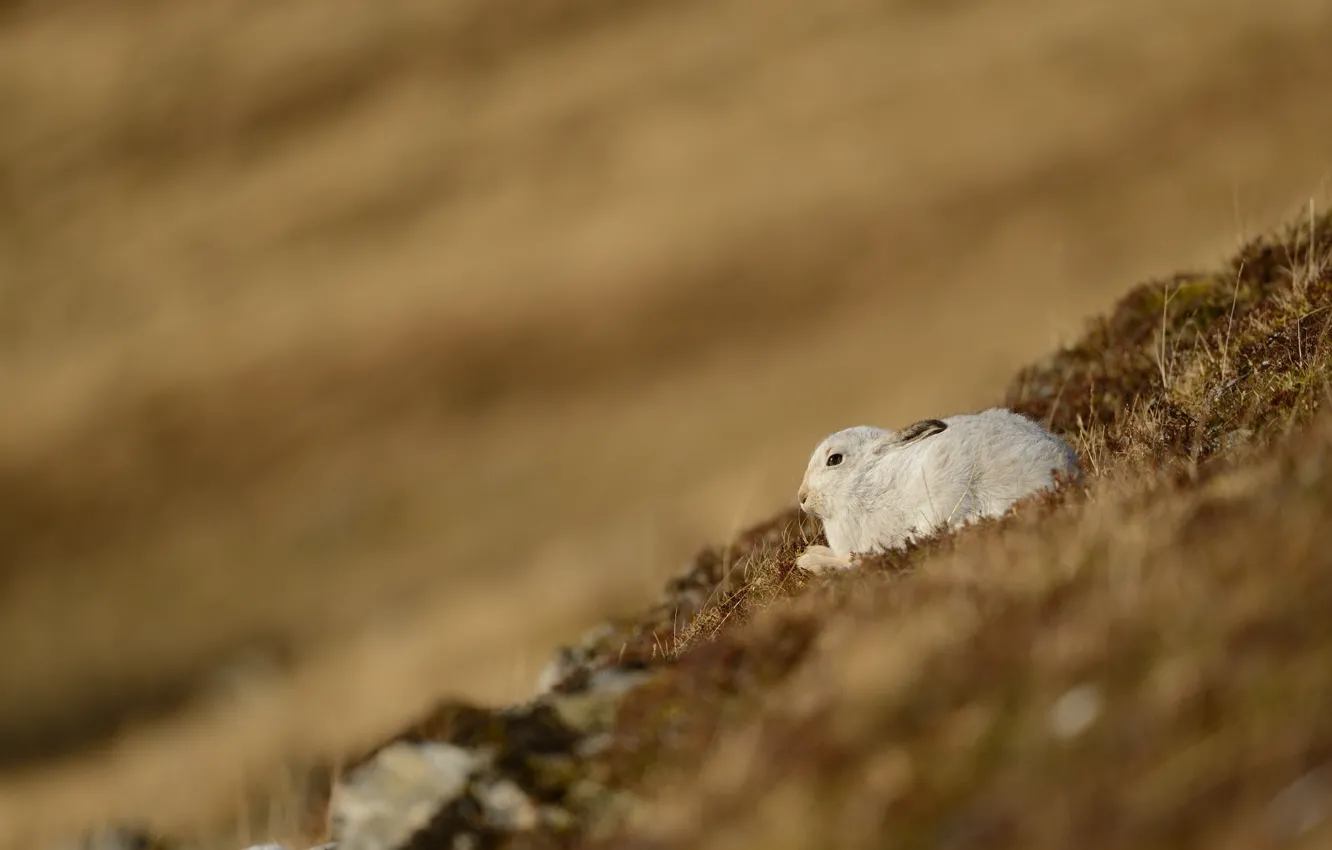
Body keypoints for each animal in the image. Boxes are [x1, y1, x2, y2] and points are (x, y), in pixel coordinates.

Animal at [794, 407, 1082, 572]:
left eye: (834, 460)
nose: (802, 497)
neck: (863, 481)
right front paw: (812, 553)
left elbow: (852, 562)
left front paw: (810, 562)